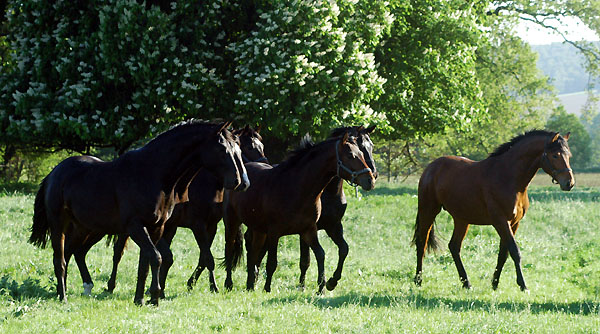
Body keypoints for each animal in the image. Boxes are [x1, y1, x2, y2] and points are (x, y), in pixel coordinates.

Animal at [29, 120, 250, 306]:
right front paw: (155, 295)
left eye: (238, 149)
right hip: (59, 225)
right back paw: (63, 296)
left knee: (73, 252)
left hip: (86, 228)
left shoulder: (156, 227)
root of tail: (54, 173)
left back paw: (74, 289)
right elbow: (157, 258)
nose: (239, 181)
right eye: (222, 149)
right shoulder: (136, 226)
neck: (153, 174)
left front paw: (140, 298)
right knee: (60, 259)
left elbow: (145, 263)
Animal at [224, 132, 376, 294]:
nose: (370, 180)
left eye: (361, 153)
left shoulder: (309, 230)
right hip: (232, 222)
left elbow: (321, 254)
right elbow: (272, 262)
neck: (296, 188)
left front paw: (325, 285)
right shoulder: (274, 233)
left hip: (258, 229)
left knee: (254, 252)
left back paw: (250, 285)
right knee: (231, 250)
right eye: (350, 155)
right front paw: (267, 288)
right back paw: (229, 284)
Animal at [412, 130, 576, 290]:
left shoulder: (514, 223)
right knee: (422, 243)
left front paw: (495, 284)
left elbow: (503, 253)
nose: (569, 183)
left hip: (462, 219)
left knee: (454, 246)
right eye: (555, 155)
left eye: (569, 156)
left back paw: (466, 283)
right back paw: (418, 280)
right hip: (428, 210)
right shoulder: (500, 221)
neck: (508, 177)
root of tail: (431, 167)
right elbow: (515, 251)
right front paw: (523, 285)